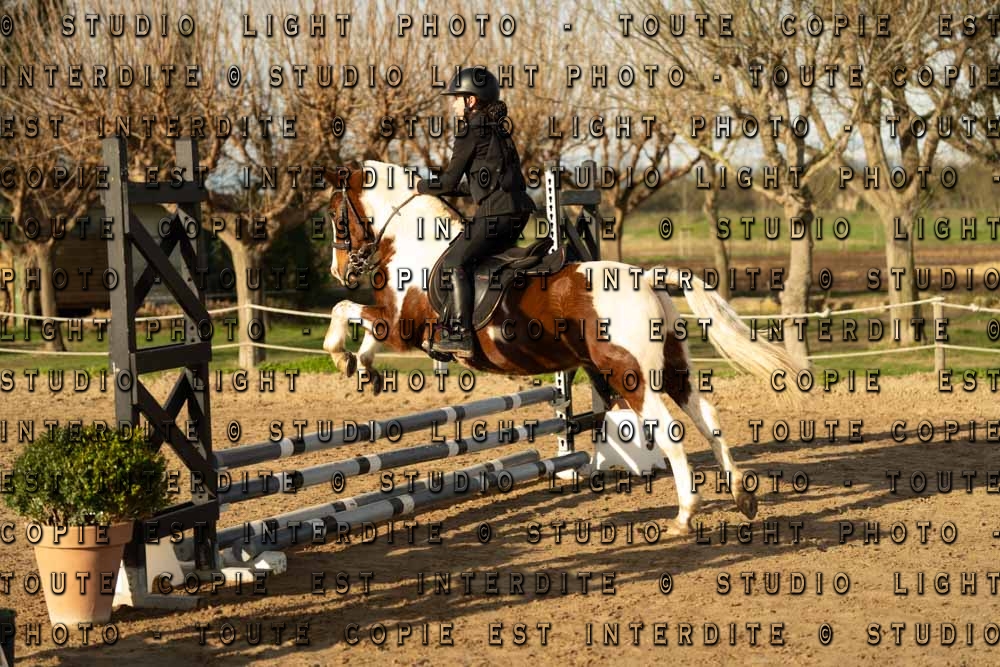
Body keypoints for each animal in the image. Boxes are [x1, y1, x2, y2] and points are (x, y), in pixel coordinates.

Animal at [322, 160, 805, 533]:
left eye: (334, 213)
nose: (339, 270)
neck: (417, 243)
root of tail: (647, 277)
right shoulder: (394, 321)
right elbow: (362, 324)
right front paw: (364, 369)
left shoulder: (403, 327)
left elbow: (346, 311)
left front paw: (342, 356)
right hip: (671, 367)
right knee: (708, 418)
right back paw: (742, 496)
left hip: (629, 375)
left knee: (670, 430)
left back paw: (685, 515)